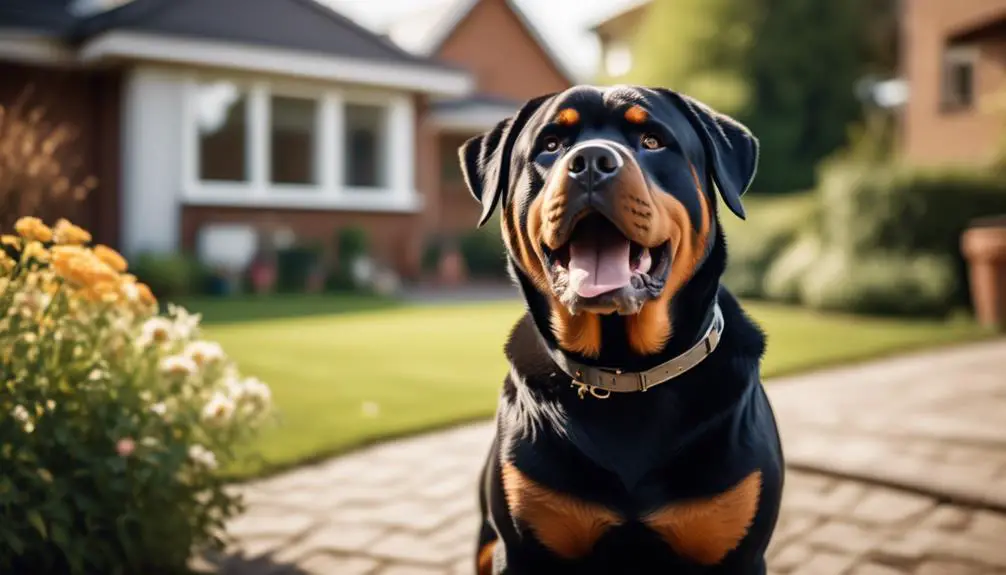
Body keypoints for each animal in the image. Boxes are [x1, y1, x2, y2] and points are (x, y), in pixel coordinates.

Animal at [458, 86, 784, 575]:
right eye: (551, 144)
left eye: (652, 141)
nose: (592, 160)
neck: (624, 372)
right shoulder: (518, 547)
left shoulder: (739, 548)